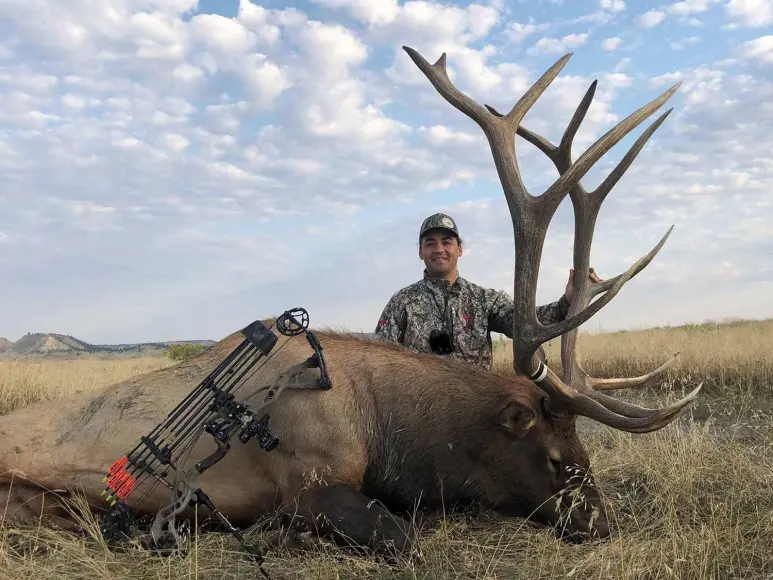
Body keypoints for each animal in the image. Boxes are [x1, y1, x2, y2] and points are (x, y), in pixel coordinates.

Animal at [0, 46, 700, 568]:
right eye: (557, 460)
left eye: (588, 456)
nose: (601, 524)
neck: (392, 432)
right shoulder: (305, 485)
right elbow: (402, 535)